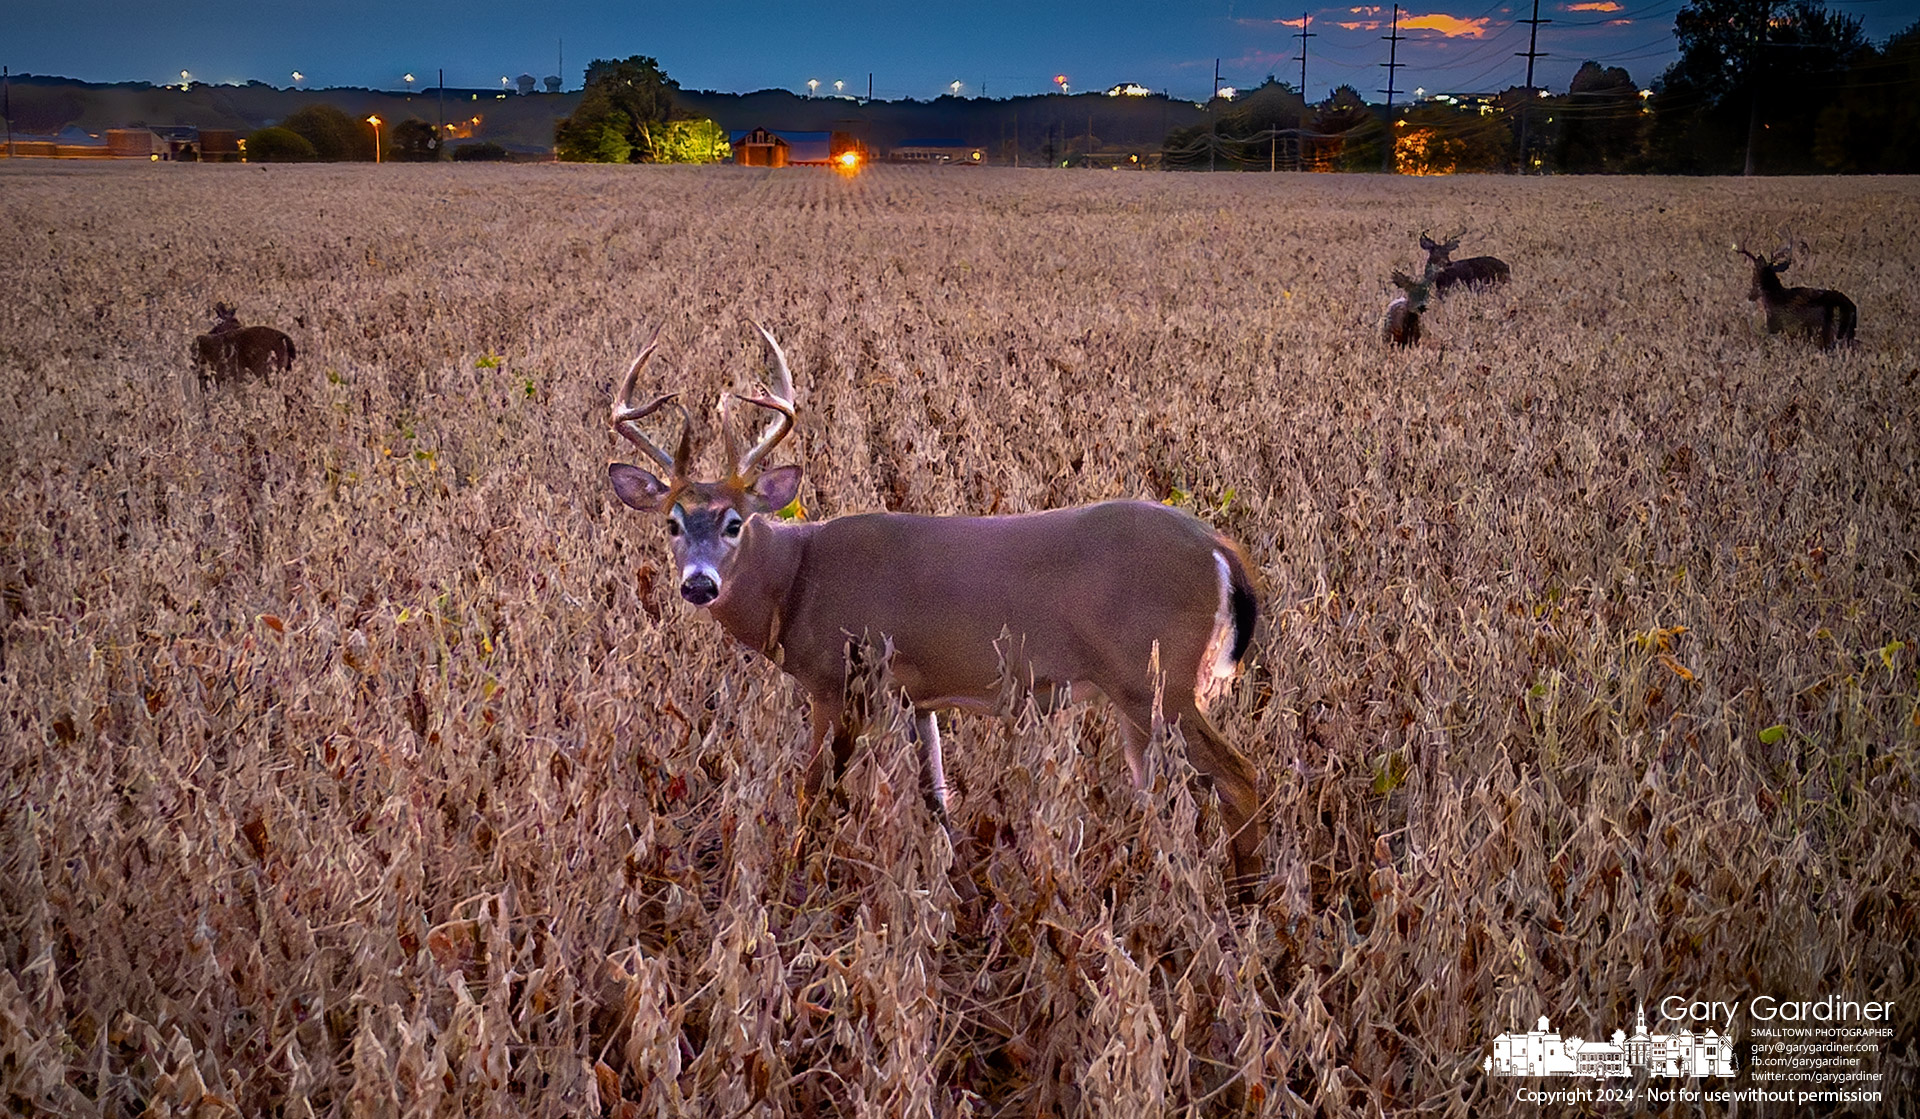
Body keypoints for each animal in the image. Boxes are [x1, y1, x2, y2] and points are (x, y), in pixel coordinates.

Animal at [606, 324, 1267, 894]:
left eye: (734, 523)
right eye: (672, 524)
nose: (699, 585)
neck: (796, 581)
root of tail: (1221, 549)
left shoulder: (840, 679)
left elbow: (813, 789)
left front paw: (792, 879)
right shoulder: (916, 695)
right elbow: (937, 794)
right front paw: (960, 884)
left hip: (1158, 680)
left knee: (1239, 778)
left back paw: (1246, 901)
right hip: (1144, 694)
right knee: (1163, 791)